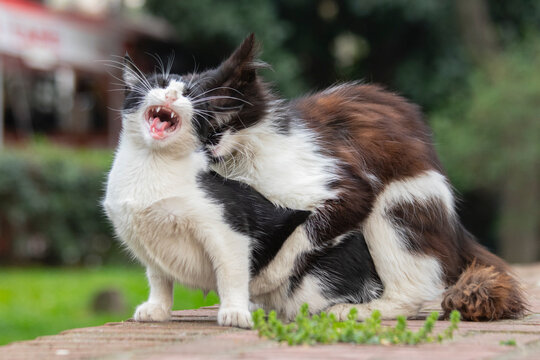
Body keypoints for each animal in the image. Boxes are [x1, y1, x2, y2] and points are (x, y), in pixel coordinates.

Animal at [102, 54, 384, 328]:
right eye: (158, 84)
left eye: (189, 94)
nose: (171, 95)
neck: (151, 164)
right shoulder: (150, 245)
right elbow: (158, 276)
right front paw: (157, 308)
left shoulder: (228, 227)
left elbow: (232, 274)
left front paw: (234, 312)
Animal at [179, 33, 524, 320]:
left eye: (216, 116)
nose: (208, 145)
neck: (239, 164)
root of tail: (456, 229)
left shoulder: (348, 186)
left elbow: (301, 235)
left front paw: (269, 276)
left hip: (394, 207)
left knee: (411, 290)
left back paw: (360, 309)